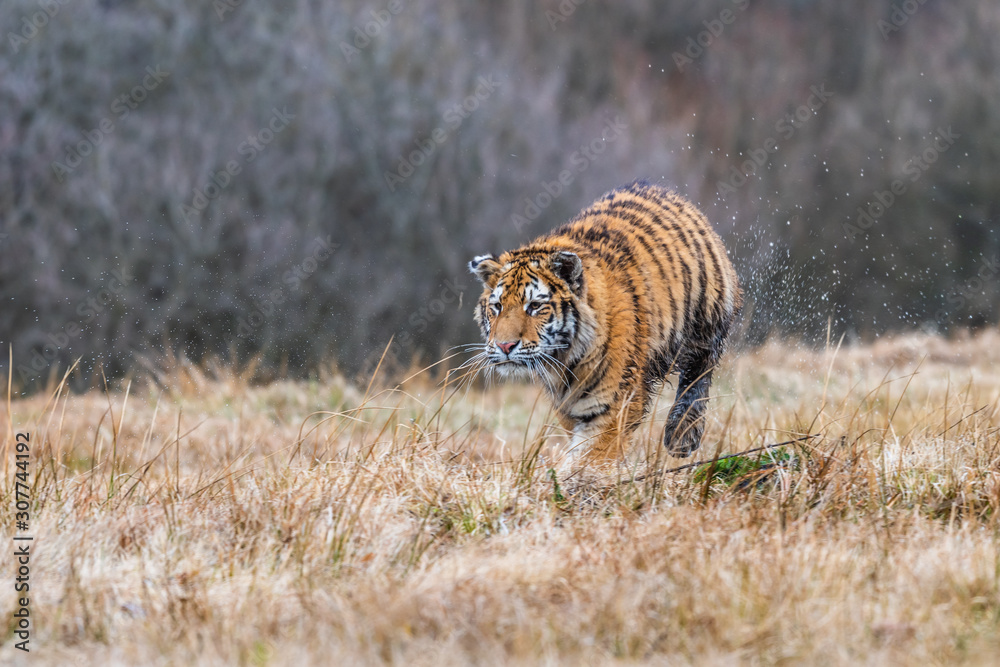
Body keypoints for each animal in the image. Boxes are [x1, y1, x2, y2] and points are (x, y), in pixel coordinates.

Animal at [468, 180, 741, 464]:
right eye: (497, 307)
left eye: (534, 306)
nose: (505, 346)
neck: (565, 362)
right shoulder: (567, 405)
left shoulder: (613, 402)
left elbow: (591, 456)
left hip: (707, 319)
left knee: (699, 371)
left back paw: (682, 435)